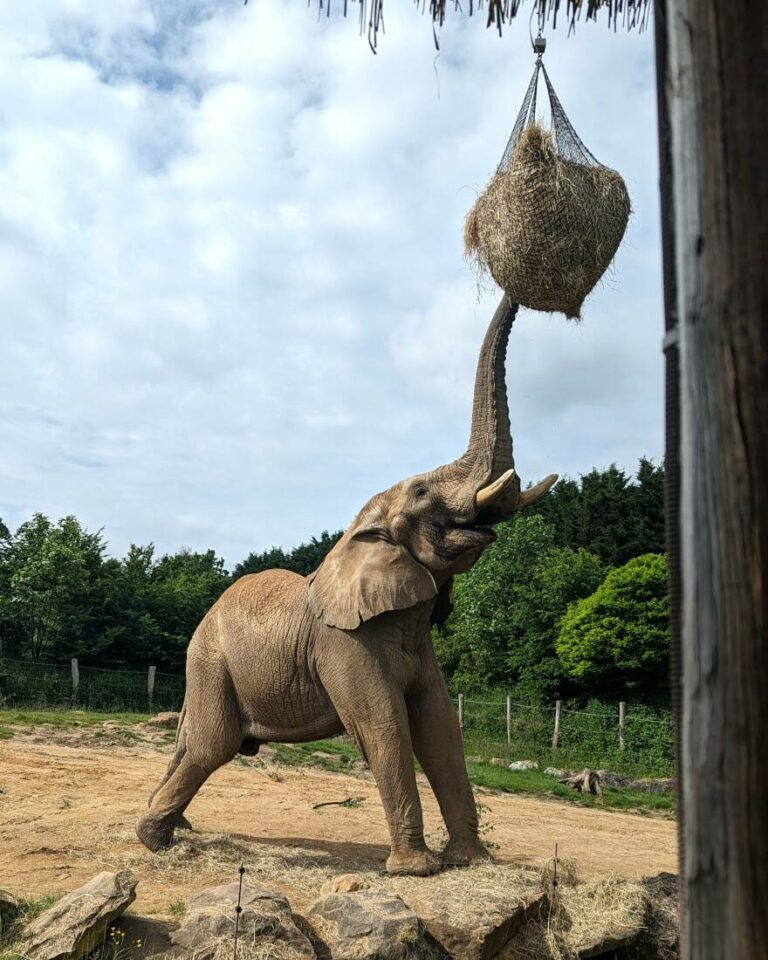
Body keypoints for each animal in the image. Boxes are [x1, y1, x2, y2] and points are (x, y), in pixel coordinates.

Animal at [136, 296, 560, 872]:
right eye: (422, 491)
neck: (360, 530)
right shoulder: (343, 643)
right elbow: (386, 725)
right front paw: (417, 870)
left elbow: (440, 728)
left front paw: (471, 862)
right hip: (210, 661)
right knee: (210, 744)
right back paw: (153, 839)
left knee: (190, 742)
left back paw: (173, 827)